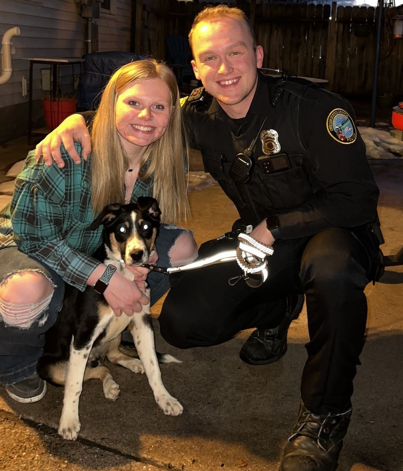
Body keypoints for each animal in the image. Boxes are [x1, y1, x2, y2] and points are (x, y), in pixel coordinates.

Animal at [38, 197, 183, 440]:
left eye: (146, 227)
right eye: (122, 230)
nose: (137, 254)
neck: (124, 272)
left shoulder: (142, 323)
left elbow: (154, 366)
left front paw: (165, 399)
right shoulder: (84, 333)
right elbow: (74, 384)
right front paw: (69, 421)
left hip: (114, 337)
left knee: (111, 359)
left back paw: (131, 366)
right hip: (50, 368)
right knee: (91, 371)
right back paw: (110, 385)